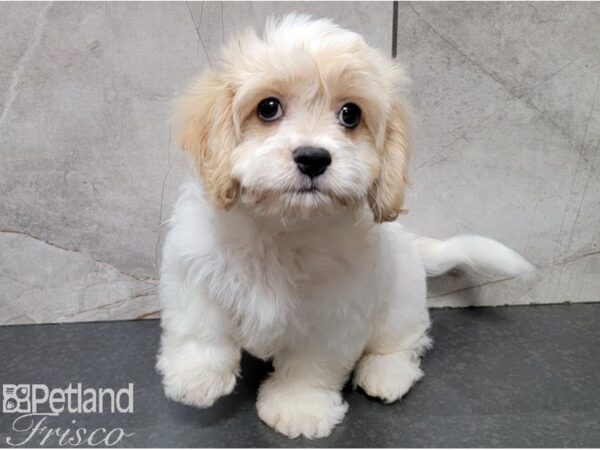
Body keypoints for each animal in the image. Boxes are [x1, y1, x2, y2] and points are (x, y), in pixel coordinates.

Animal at [156, 14, 536, 440]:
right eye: (268, 108)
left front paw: (299, 406)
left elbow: (311, 365)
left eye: (350, 114)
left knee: (405, 342)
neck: (283, 227)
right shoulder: (193, 265)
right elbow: (200, 326)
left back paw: (387, 373)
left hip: (401, 306)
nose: (313, 157)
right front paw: (195, 379)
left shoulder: (334, 314)